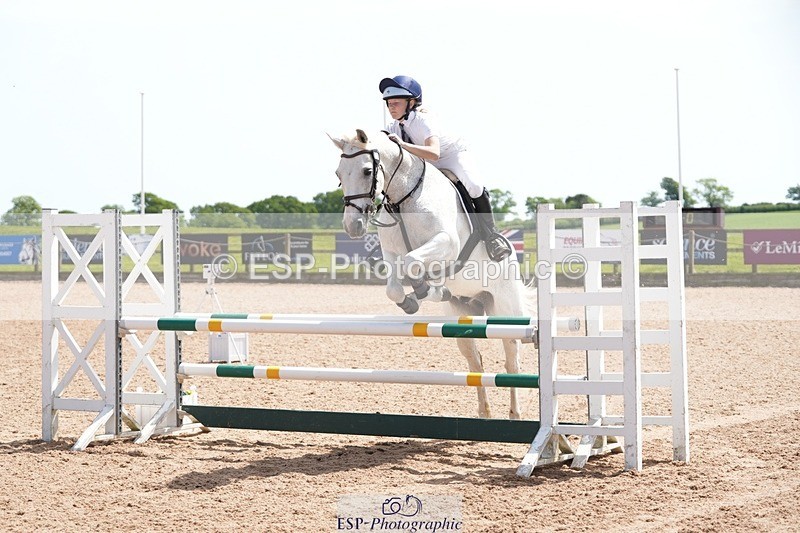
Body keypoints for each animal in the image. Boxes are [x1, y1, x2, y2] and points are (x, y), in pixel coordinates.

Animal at [329, 128, 533, 419]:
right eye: (338, 173)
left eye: (367, 171)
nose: (352, 226)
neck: (404, 198)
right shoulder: (391, 252)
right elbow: (394, 286)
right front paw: (413, 298)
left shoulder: (447, 244)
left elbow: (413, 261)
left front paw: (425, 288)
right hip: (463, 313)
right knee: (476, 363)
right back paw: (484, 412)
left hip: (505, 311)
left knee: (511, 361)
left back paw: (515, 414)